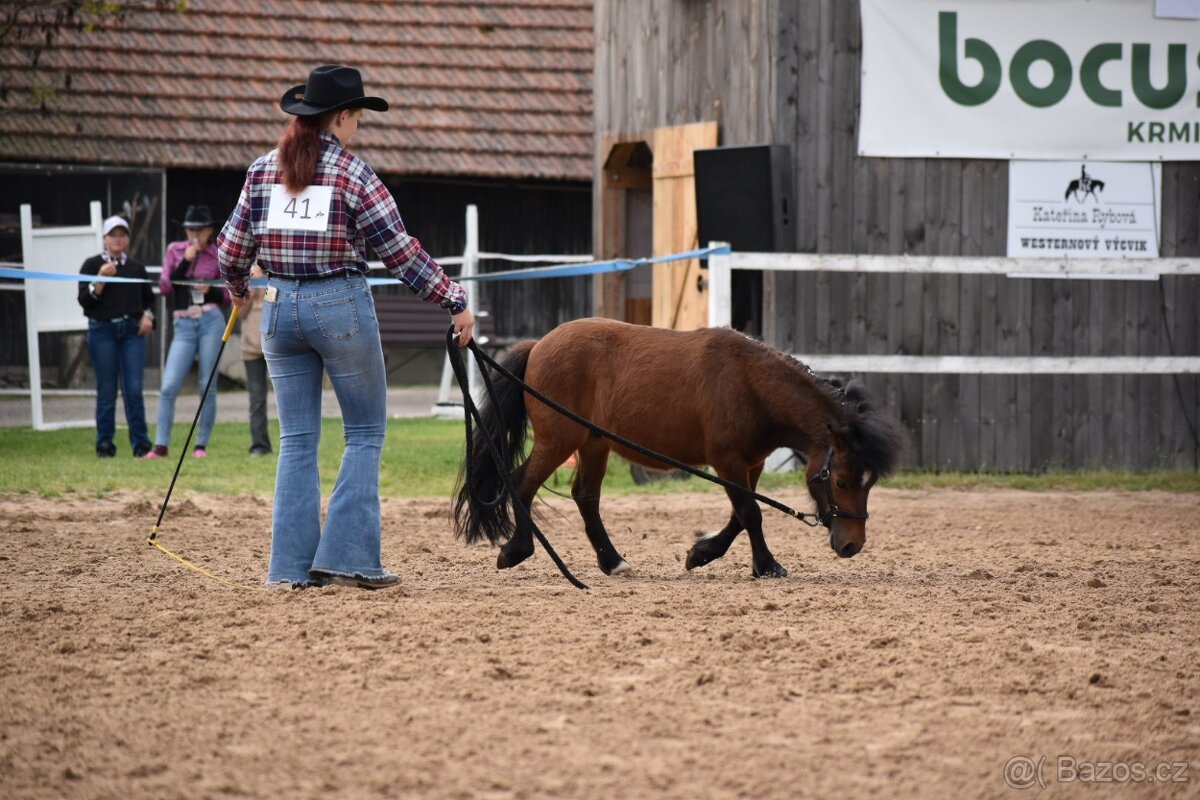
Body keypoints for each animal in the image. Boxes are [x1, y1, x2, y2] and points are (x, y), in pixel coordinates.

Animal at [454, 318, 904, 579]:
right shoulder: (727, 461)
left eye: (869, 483)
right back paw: (517, 550)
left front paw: (702, 553)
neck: (750, 385)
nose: (852, 545)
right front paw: (767, 565)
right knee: (522, 484)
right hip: (558, 440)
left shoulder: (751, 463)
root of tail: (539, 345)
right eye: (842, 481)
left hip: (594, 443)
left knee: (585, 496)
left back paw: (612, 561)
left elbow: (740, 515)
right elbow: (751, 513)